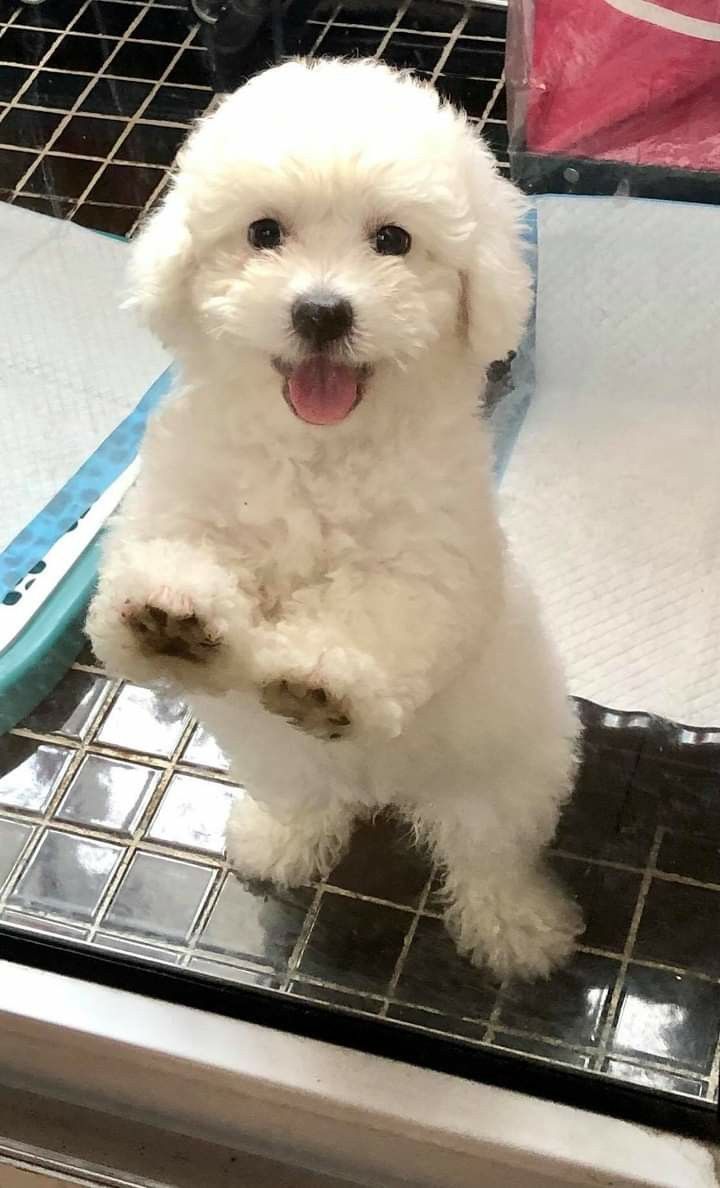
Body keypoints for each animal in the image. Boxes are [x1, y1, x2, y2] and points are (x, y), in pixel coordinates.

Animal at [89, 55, 586, 978]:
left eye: (392, 240)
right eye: (263, 233)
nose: (322, 310)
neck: (316, 451)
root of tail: (376, 789)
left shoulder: (434, 559)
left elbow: (385, 610)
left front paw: (323, 674)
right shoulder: (181, 496)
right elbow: (170, 551)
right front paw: (172, 615)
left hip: (510, 775)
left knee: (487, 853)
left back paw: (517, 928)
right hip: (271, 756)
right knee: (303, 799)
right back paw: (280, 839)